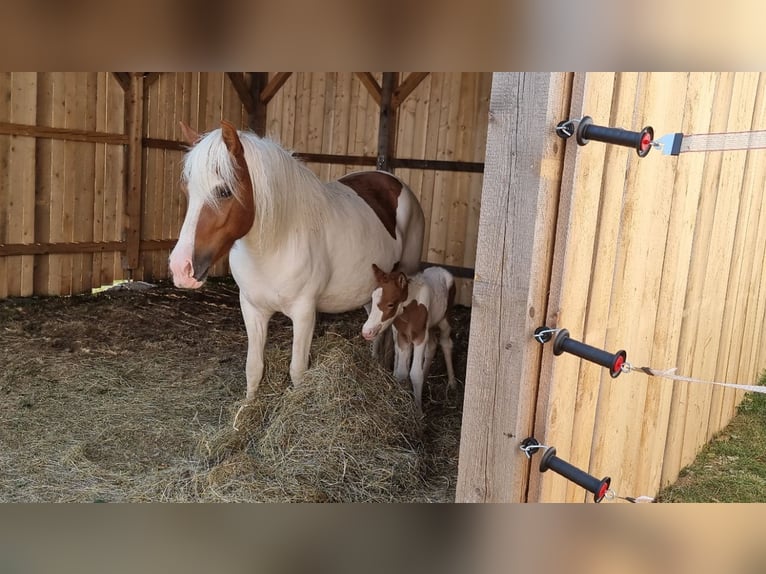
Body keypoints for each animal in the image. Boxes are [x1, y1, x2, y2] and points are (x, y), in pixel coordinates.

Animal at [170, 121, 426, 400]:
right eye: (186, 191)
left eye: (225, 191)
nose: (181, 267)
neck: (274, 246)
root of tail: (393, 181)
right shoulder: (252, 309)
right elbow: (253, 367)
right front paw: (246, 409)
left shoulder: (304, 313)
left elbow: (297, 371)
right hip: (372, 292)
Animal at [362, 264, 456, 416]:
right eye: (372, 298)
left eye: (390, 304)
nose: (366, 331)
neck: (411, 309)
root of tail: (440, 269)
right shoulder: (403, 336)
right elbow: (402, 372)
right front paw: (402, 397)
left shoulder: (419, 337)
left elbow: (415, 374)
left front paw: (418, 411)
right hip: (430, 326)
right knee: (432, 345)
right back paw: (426, 378)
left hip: (444, 320)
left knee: (446, 343)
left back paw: (452, 383)